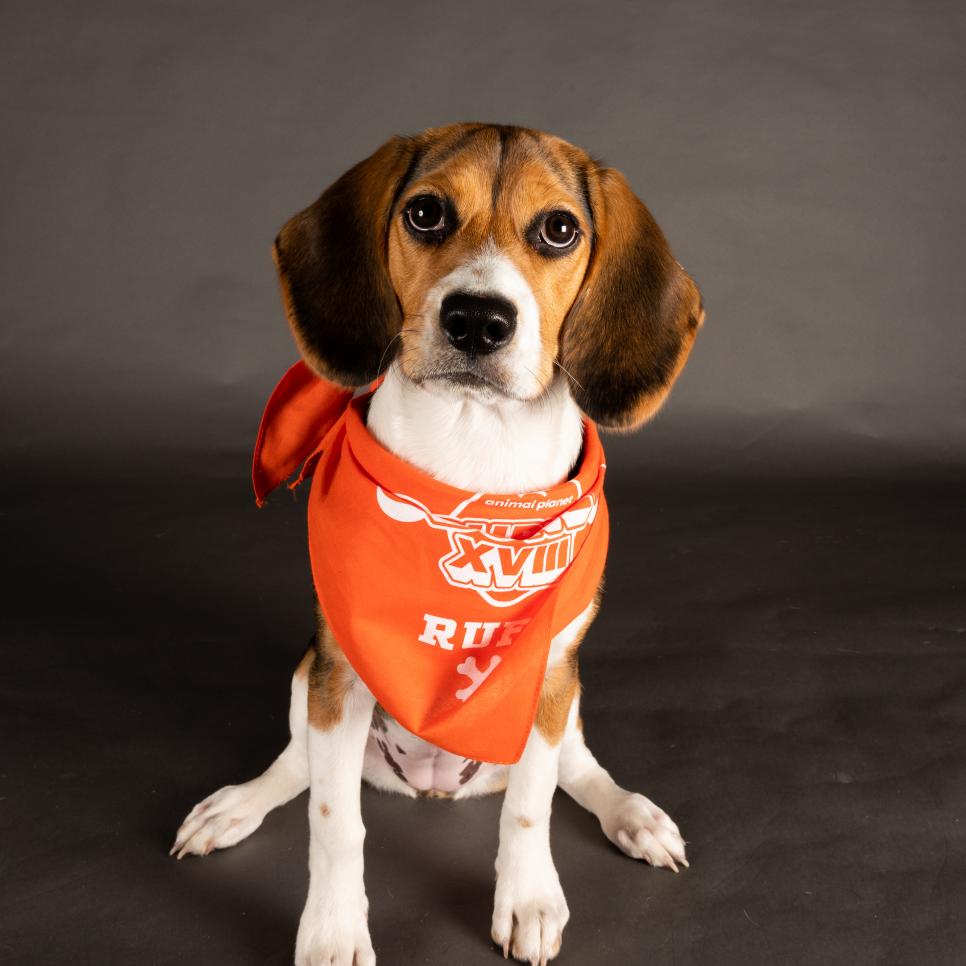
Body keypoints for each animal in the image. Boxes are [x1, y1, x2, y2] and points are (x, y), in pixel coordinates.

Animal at [172, 123, 704, 966]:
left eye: (560, 229)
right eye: (425, 213)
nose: (478, 320)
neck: (473, 453)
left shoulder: (546, 676)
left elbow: (529, 806)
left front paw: (528, 899)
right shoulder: (339, 675)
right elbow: (335, 822)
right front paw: (333, 931)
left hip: (568, 694)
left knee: (574, 768)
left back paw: (631, 814)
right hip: (307, 678)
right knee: (298, 766)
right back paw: (241, 804)